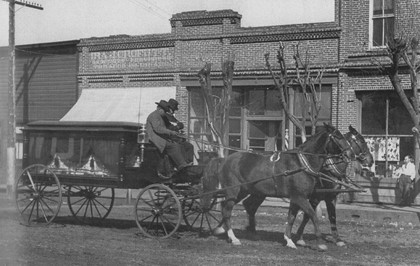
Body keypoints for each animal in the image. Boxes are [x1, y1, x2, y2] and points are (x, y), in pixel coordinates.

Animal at [202, 123, 352, 250]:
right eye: (338, 137)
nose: (350, 153)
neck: (301, 163)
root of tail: (224, 159)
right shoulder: (301, 197)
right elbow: (313, 216)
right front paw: (320, 243)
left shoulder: (296, 198)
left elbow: (291, 218)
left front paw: (289, 240)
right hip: (233, 191)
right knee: (227, 211)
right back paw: (233, 238)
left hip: (243, 191)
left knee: (230, 207)